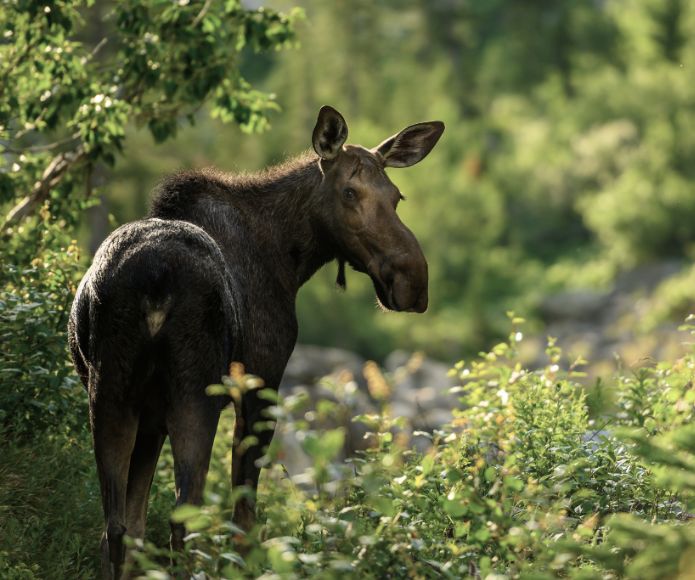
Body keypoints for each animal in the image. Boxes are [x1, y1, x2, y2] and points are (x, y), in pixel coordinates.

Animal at [68, 106, 444, 576]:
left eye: (396, 196)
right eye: (349, 192)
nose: (414, 282)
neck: (291, 256)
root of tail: (156, 282)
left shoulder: (150, 411)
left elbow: (137, 525)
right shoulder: (261, 382)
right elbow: (245, 521)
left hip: (110, 393)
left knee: (115, 530)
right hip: (194, 395)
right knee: (184, 522)